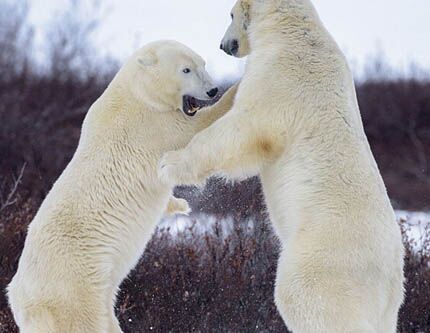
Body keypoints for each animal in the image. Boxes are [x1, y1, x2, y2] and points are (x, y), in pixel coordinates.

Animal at [160, 1, 404, 330]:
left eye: (230, 14)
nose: (224, 45)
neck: (291, 32)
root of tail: (387, 278)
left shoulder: (282, 77)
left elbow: (244, 129)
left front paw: (168, 163)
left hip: (323, 262)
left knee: (303, 297)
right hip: (388, 304)